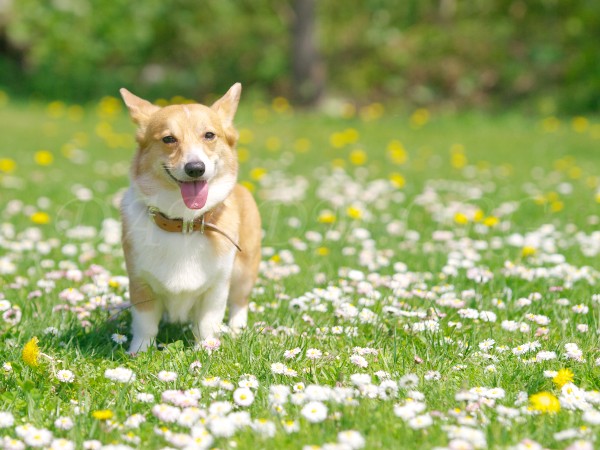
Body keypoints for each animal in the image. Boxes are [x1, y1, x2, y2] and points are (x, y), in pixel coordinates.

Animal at [119, 82, 260, 354]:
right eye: (168, 139)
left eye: (209, 135)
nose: (195, 168)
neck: (184, 223)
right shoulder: (140, 283)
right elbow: (144, 325)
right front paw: (138, 352)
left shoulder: (217, 288)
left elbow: (207, 323)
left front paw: (206, 349)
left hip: (244, 270)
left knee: (240, 302)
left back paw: (236, 330)